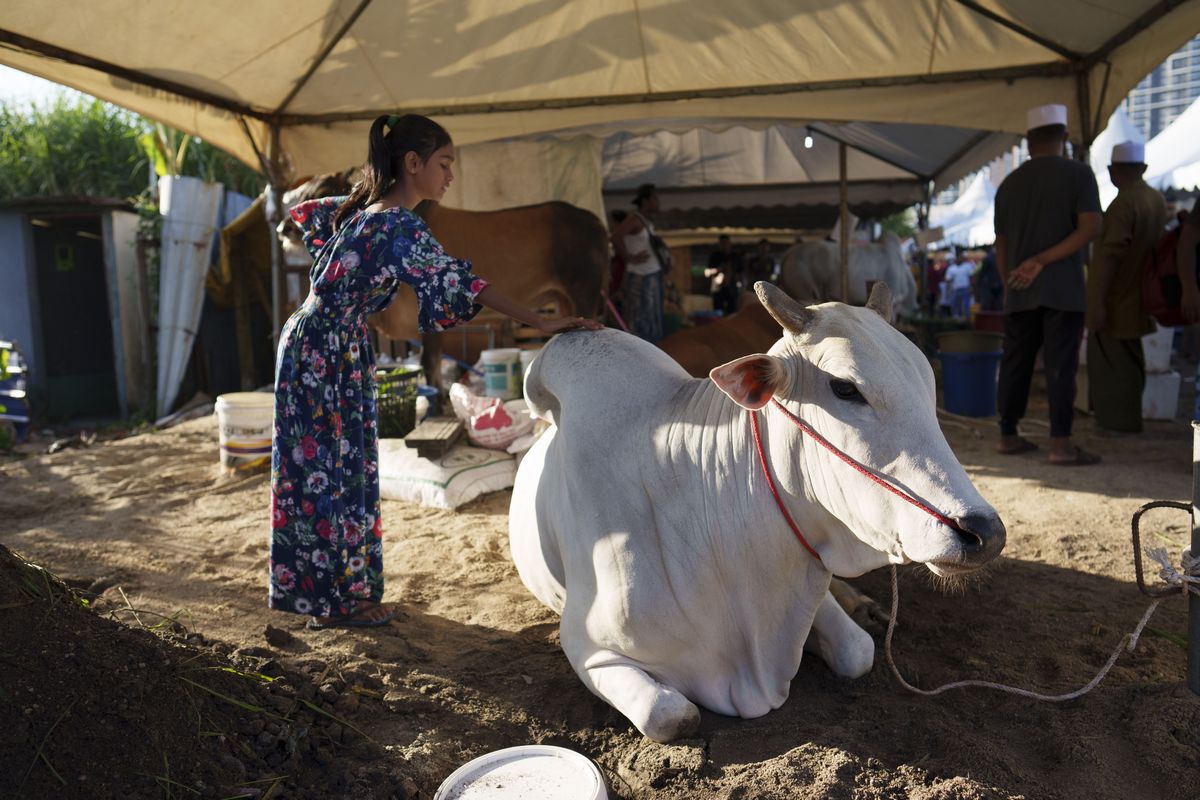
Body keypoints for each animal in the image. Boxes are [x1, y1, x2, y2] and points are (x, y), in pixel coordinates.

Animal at [506, 283, 1003, 743]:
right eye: (845, 388)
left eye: (928, 384)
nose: (984, 532)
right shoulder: (587, 645)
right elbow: (672, 715)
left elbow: (858, 651)